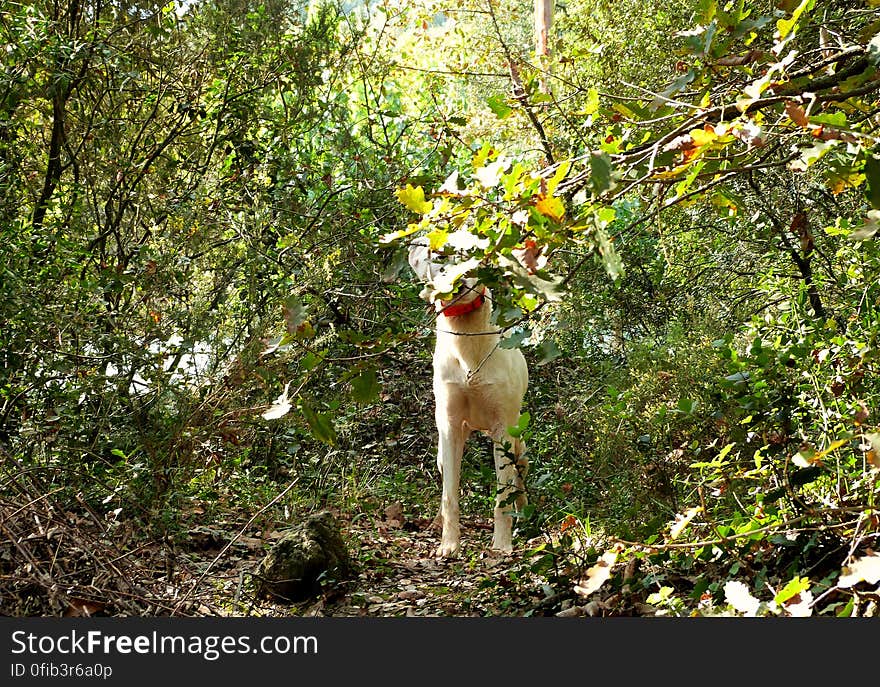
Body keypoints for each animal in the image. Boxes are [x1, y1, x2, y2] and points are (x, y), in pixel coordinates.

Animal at [408, 243, 528, 560]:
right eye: (439, 256)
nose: (458, 280)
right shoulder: (449, 425)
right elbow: (450, 495)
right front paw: (449, 545)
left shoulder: (502, 428)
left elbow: (502, 495)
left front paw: (502, 544)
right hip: (443, 449)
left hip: (519, 446)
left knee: (519, 479)